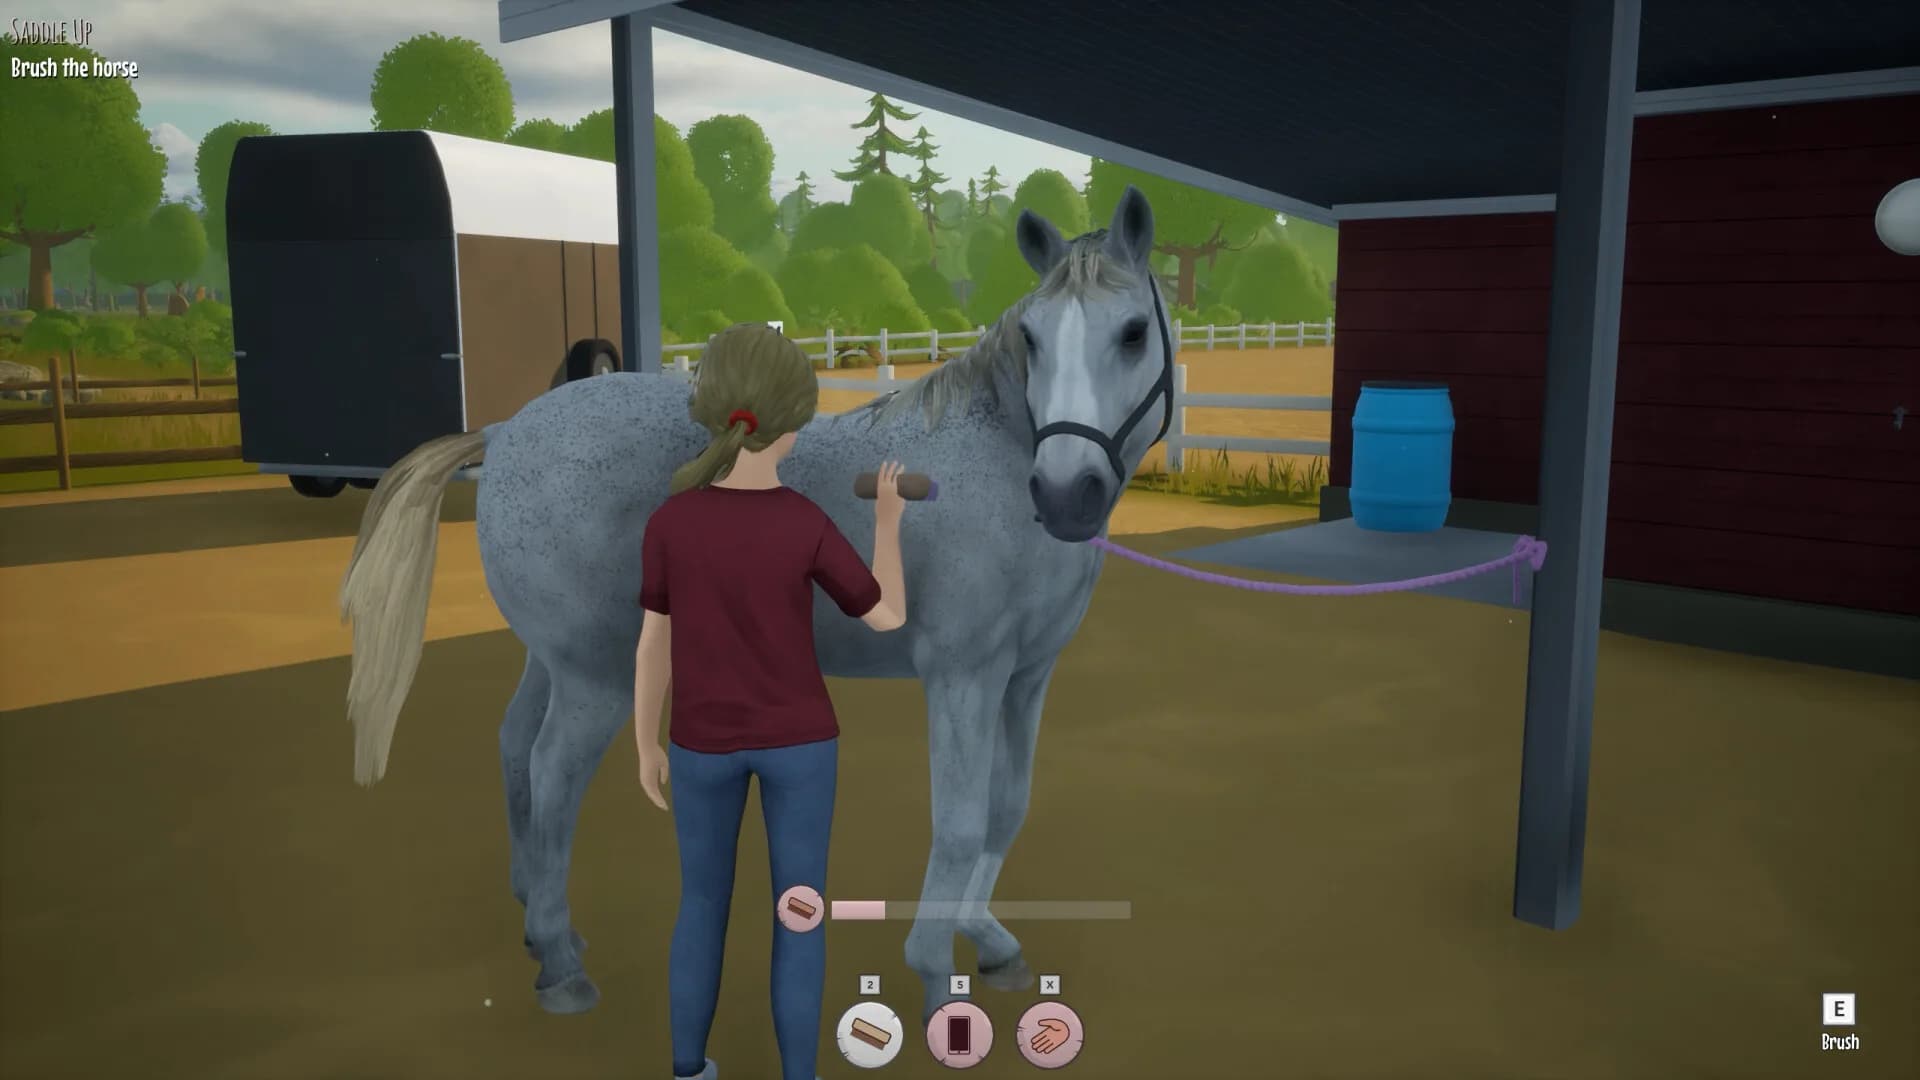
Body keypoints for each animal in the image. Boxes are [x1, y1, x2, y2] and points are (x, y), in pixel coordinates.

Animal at [338, 184, 1177, 1021]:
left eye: (1133, 332)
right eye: (1031, 338)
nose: (1066, 494)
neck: (996, 463)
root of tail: (505, 431)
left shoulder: (1027, 677)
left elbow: (1008, 807)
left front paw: (991, 941)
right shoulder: (963, 676)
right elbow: (962, 821)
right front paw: (937, 977)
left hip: (558, 657)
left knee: (515, 746)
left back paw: (543, 927)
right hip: (597, 676)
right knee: (550, 771)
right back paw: (561, 965)